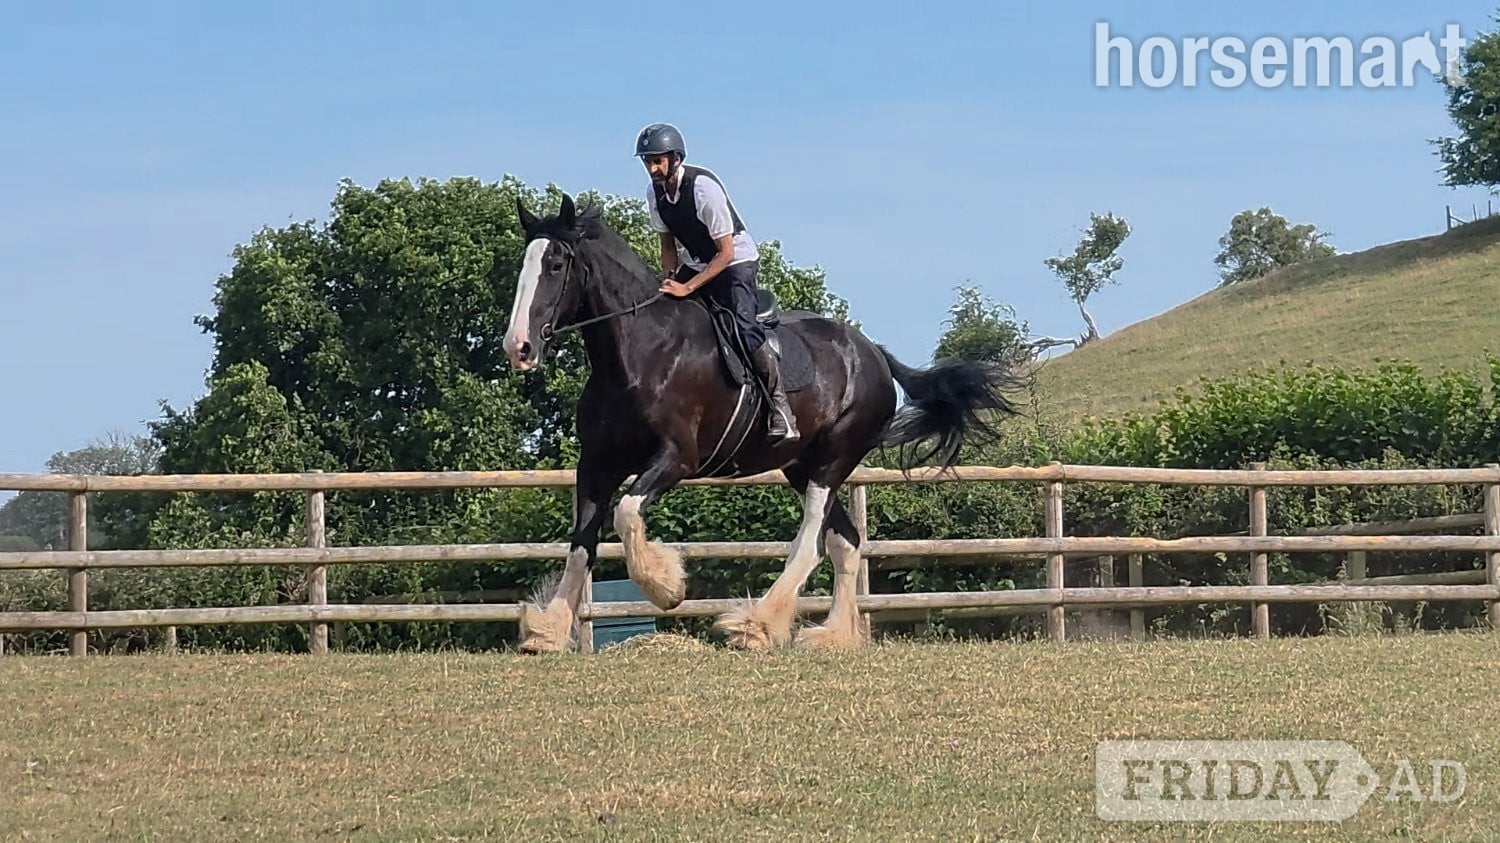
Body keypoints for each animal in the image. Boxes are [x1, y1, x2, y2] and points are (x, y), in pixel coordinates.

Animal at [501, 193, 1027, 651]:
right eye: (521, 265)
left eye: (555, 265)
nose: (519, 347)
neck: (639, 353)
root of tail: (873, 353)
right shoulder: (597, 464)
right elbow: (582, 543)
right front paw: (549, 631)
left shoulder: (675, 459)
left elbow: (626, 513)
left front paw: (667, 588)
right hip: (800, 465)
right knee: (846, 543)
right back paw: (831, 635)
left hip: (832, 461)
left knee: (813, 541)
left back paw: (756, 624)